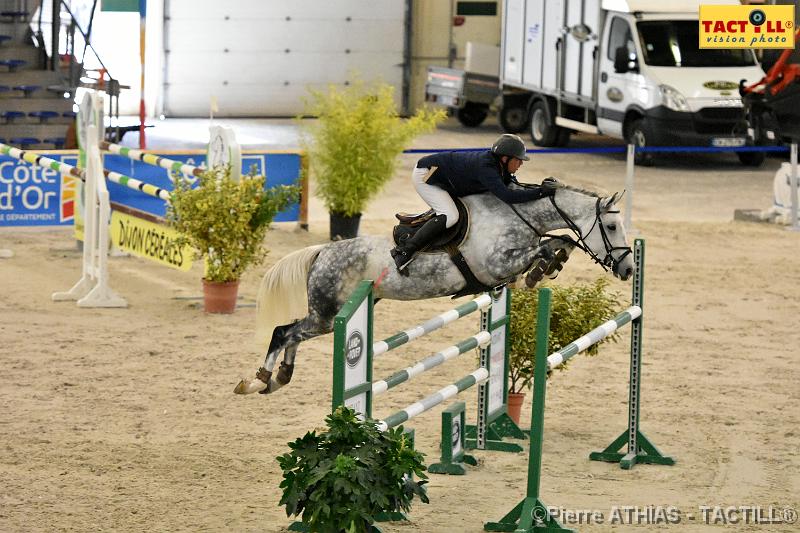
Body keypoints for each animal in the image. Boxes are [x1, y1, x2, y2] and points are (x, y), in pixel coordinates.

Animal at [234, 183, 636, 394]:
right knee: (283, 332)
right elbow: (547, 246)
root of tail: (322, 251)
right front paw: (542, 268)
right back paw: (259, 380)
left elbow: (559, 241)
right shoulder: (494, 265)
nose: (629, 268)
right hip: (329, 313)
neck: (519, 216)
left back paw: (280, 377)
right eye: (612, 227)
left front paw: (550, 264)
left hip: (331, 314)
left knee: (293, 334)